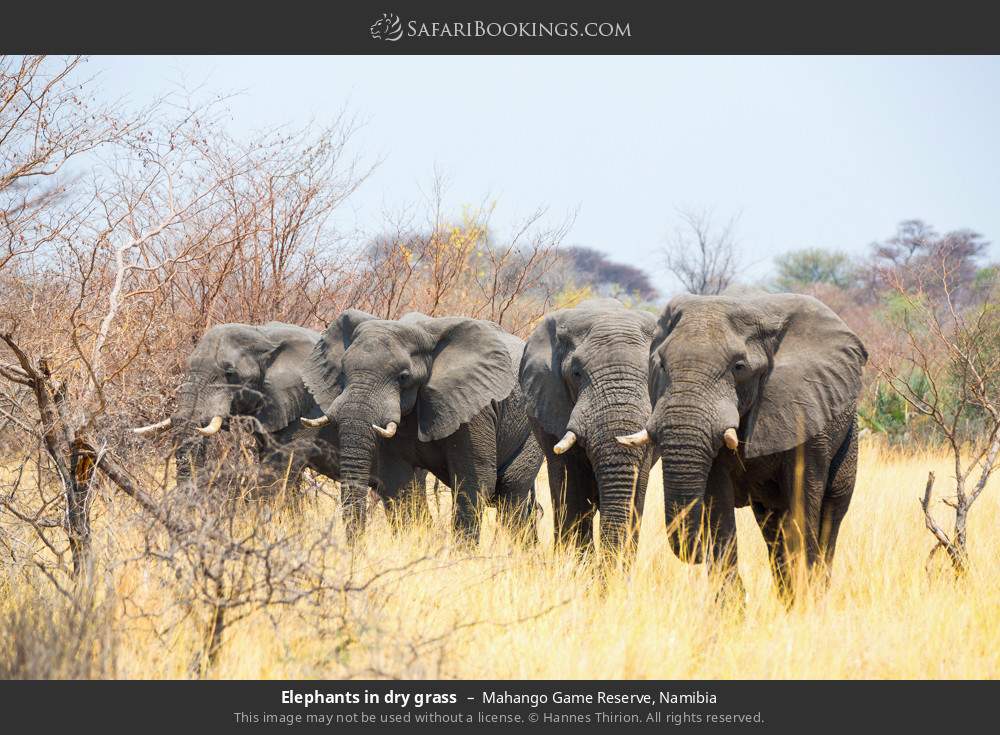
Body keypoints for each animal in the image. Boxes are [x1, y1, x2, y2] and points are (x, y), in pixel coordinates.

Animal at [300, 308, 544, 544]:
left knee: (511, 490)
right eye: (342, 371)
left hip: (531, 430)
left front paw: (462, 553)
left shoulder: (474, 408)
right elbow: (398, 482)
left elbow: (474, 481)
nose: (357, 549)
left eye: (403, 376)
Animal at [636, 290, 864, 600]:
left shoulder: (806, 411)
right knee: (772, 524)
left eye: (739, 367)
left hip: (848, 434)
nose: (696, 553)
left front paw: (806, 600)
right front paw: (731, 608)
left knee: (831, 513)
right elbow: (717, 502)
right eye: (660, 364)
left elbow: (803, 499)